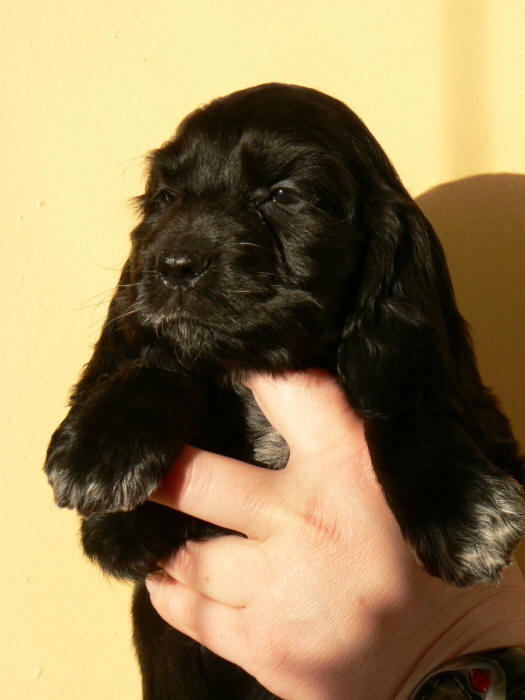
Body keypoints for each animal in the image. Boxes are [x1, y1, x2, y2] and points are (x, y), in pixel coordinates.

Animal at [45, 83, 525, 699]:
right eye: (166, 197)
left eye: (283, 195)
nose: (171, 264)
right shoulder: (125, 534)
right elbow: (169, 361)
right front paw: (103, 446)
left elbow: (399, 398)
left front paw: (462, 513)